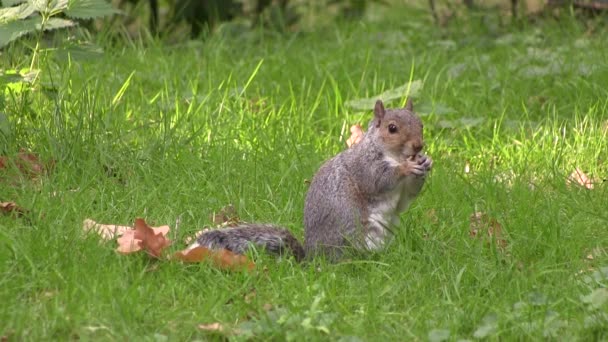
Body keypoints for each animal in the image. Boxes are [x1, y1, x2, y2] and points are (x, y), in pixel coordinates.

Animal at [190, 99, 432, 262]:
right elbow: (379, 180)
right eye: (392, 128)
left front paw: (426, 162)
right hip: (348, 231)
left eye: (421, 124)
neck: (394, 155)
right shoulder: (365, 166)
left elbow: (406, 199)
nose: (418, 146)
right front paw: (406, 167)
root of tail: (313, 258)